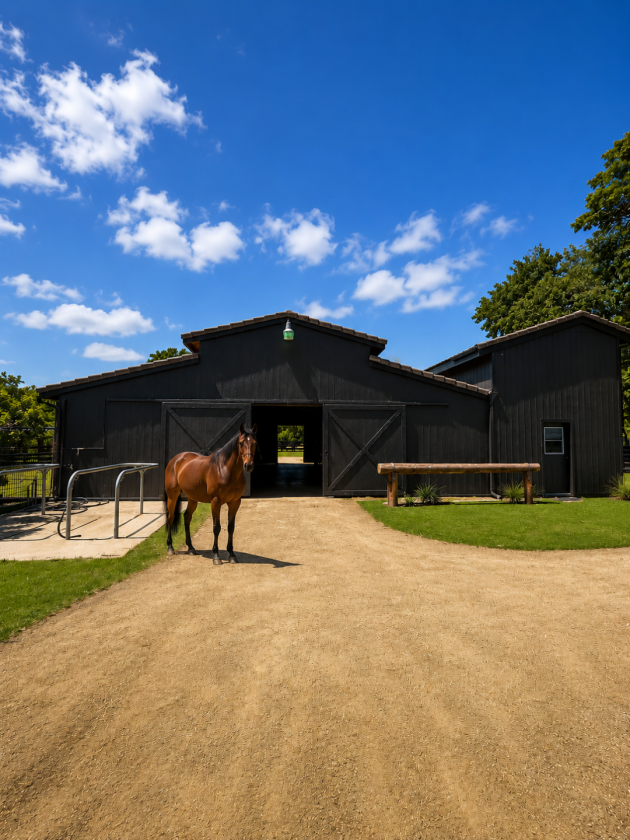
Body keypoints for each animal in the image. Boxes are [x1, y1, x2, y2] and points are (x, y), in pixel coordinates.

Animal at [163, 423, 257, 565]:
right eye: (241, 443)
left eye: (255, 443)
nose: (249, 465)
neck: (225, 469)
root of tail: (175, 460)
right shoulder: (215, 502)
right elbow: (216, 527)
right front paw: (216, 556)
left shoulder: (235, 502)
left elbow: (231, 527)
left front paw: (231, 554)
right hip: (172, 496)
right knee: (170, 517)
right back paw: (170, 547)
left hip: (192, 499)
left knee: (187, 517)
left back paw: (191, 548)